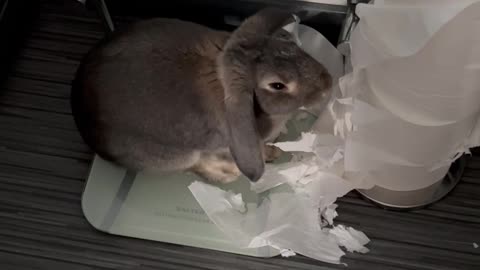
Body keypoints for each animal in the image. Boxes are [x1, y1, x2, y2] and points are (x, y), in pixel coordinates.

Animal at [71, 8, 332, 185]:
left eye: (288, 42)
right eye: (277, 85)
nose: (328, 82)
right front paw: (270, 153)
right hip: (176, 156)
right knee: (196, 164)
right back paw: (228, 174)